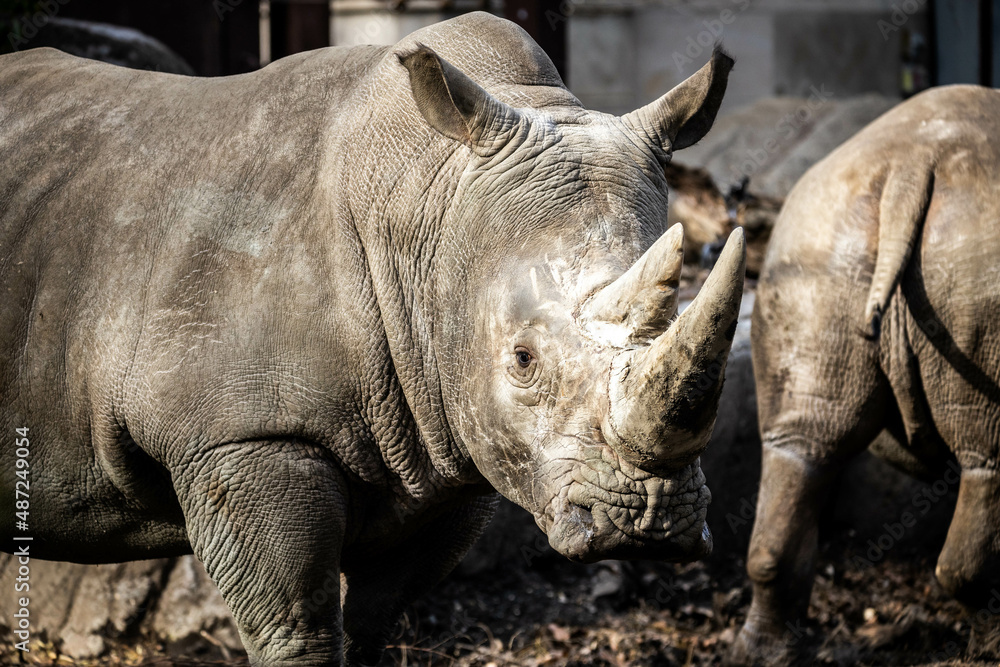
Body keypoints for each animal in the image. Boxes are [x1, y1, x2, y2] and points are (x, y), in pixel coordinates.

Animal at [0, 13, 747, 665]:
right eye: (523, 359)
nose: (649, 520)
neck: (430, 214)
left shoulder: (448, 451)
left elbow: (373, 620)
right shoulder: (241, 434)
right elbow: (295, 627)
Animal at [732, 85, 1000, 664]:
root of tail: (912, 165)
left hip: (817, 241)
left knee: (801, 447)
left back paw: (762, 654)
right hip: (979, 261)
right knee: (990, 459)